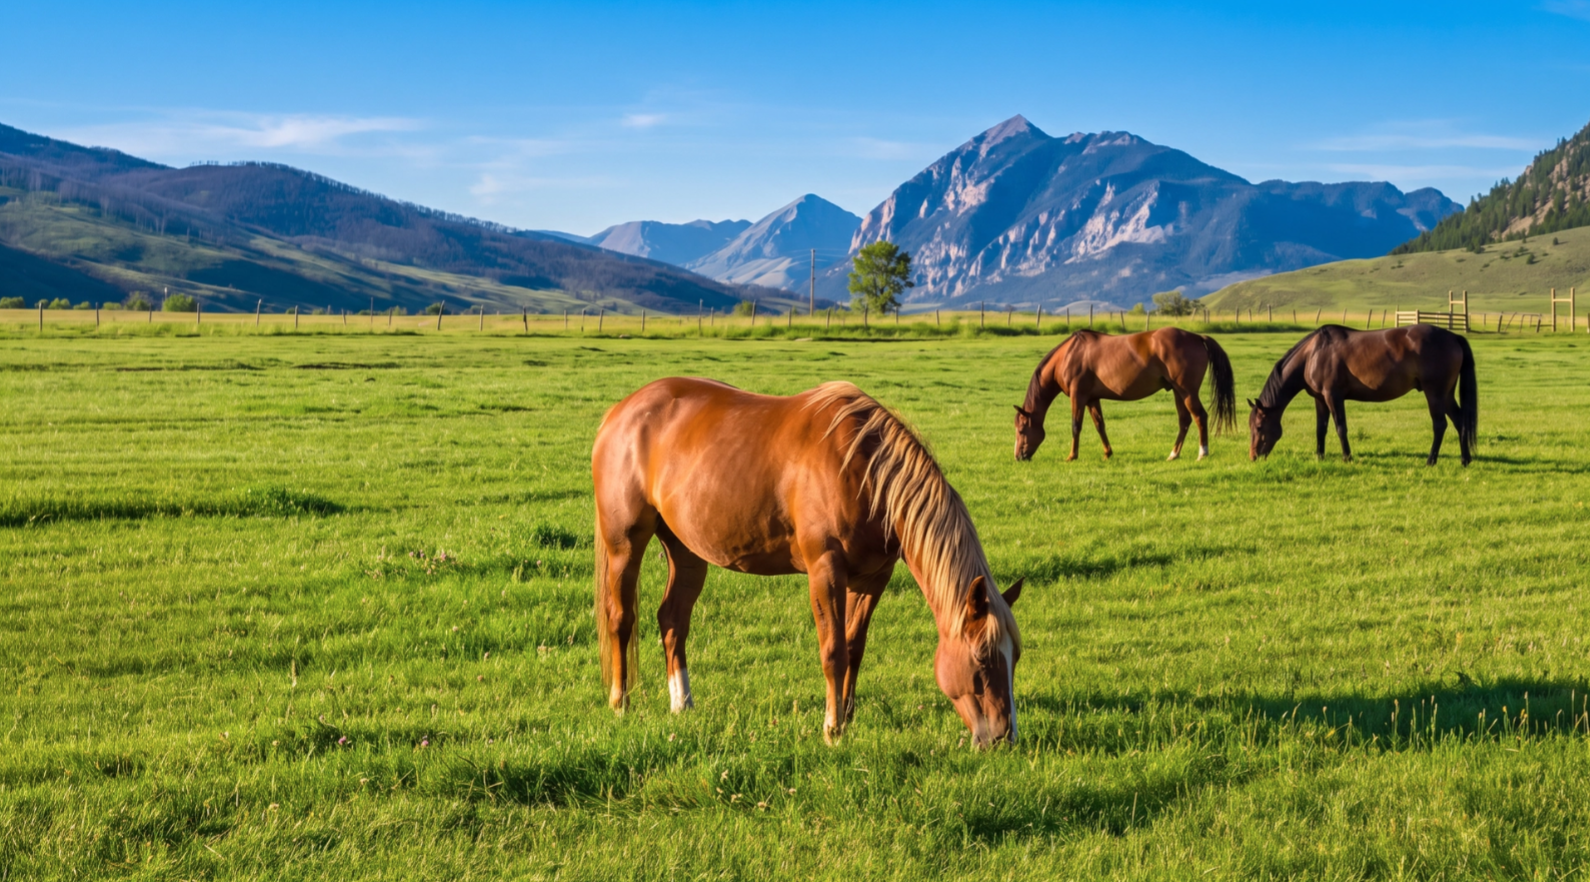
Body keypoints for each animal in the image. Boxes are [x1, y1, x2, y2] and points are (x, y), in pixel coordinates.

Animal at [591, 378, 1023, 747]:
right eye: (982, 658)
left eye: (1014, 655)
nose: (1004, 736)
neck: (865, 471)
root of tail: (620, 412)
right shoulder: (825, 570)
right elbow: (833, 649)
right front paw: (832, 728)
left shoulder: (873, 578)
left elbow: (854, 647)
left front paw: (848, 717)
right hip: (625, 545)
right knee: (621, 618)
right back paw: (619, 703)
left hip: (687, 551)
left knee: (673, 620)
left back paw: (682, 704)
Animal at [1013, 327, 1236, 462]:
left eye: (1021, 430)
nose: (1018, 456)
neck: (1068, 356)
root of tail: (1196, 336)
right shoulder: (1092, 399)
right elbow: (1100, 425)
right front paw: (1107, 453)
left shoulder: (1079, 396)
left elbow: (1076, 426)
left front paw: (1072, 456)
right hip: (1178, 392)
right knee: (1185, 420)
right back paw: (1173, 454)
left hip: (1187, 391)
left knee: (1199, 416)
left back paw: (1202, 453)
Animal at [1247, 324, 1477, 465]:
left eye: (1258, 427)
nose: (1253, 456)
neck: (1313, 354)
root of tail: (1453, 337)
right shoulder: (1320, 399)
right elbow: (1320, 429)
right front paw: (1320, 456)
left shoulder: (1333, 397)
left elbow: (1341, 428)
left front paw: (1347, 457)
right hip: (1446, 394)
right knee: (1460, 421)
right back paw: (1464, 460)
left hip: (1434, 393)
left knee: (1440, 425)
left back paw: (1431, 461)